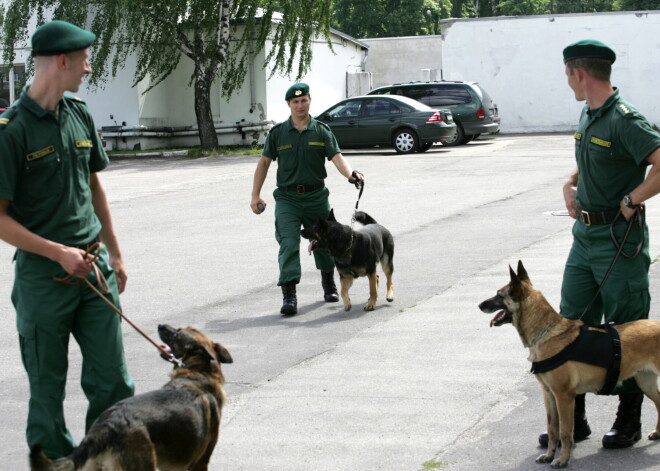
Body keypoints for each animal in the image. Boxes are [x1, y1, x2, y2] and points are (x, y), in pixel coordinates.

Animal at [480, 262, 660, 468]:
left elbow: (565, 433)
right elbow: (552, 430)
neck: (546, 331)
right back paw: (658, 432)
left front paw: (562, 460)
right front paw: (549, 455)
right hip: (645, 382)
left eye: (498, 295)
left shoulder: (563, 396)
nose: (479, 305)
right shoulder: (549, 395)